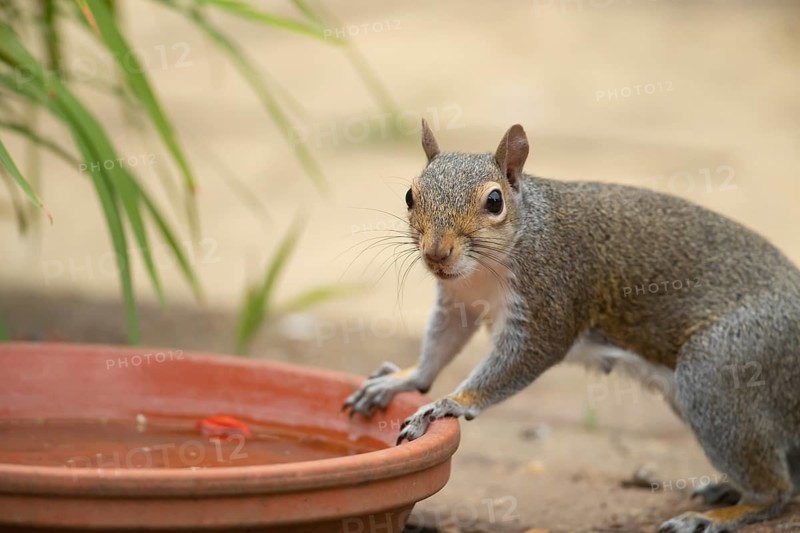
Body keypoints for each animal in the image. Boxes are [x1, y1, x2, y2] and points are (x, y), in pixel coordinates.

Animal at [343, 121, 800, 533]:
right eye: (409, 195)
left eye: (494, 201)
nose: (437, 253)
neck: (489, 265)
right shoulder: (458, 302)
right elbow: (439, 345)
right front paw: (401, 381)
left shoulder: (551, 301)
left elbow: (525, 357)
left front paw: (448, 403)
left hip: (720, 371)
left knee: (777, 491)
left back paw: (719, 514)